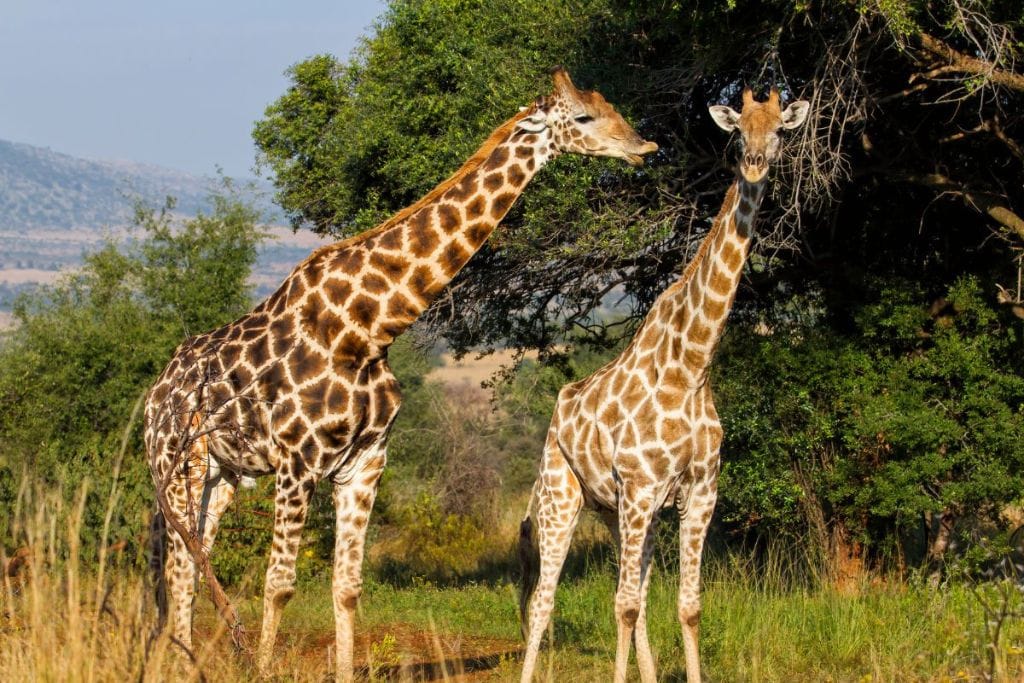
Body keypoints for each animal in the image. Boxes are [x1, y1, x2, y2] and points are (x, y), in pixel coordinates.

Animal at [144, 67, 657, 682]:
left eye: (610, 105)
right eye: (583, 116)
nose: (644, 146)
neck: (370, 327)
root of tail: (153, 394)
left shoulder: (366, 461)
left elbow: (346, 588)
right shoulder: (297, 462)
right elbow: (280, 585)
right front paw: (264, 667)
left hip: (221, 475)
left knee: (190, 563)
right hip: (178, 465)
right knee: (180, 567)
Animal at [517, 87, 810, 683]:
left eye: (779, 131)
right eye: (737, 132)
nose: (755, 163)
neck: (691, 365)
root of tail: (559, 408)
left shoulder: (698, 493)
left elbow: (686, 606)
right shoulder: (641, 489)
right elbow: (623, 605)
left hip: (618, 512)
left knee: (638, 594)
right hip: (562, 495)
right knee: (544, 600)